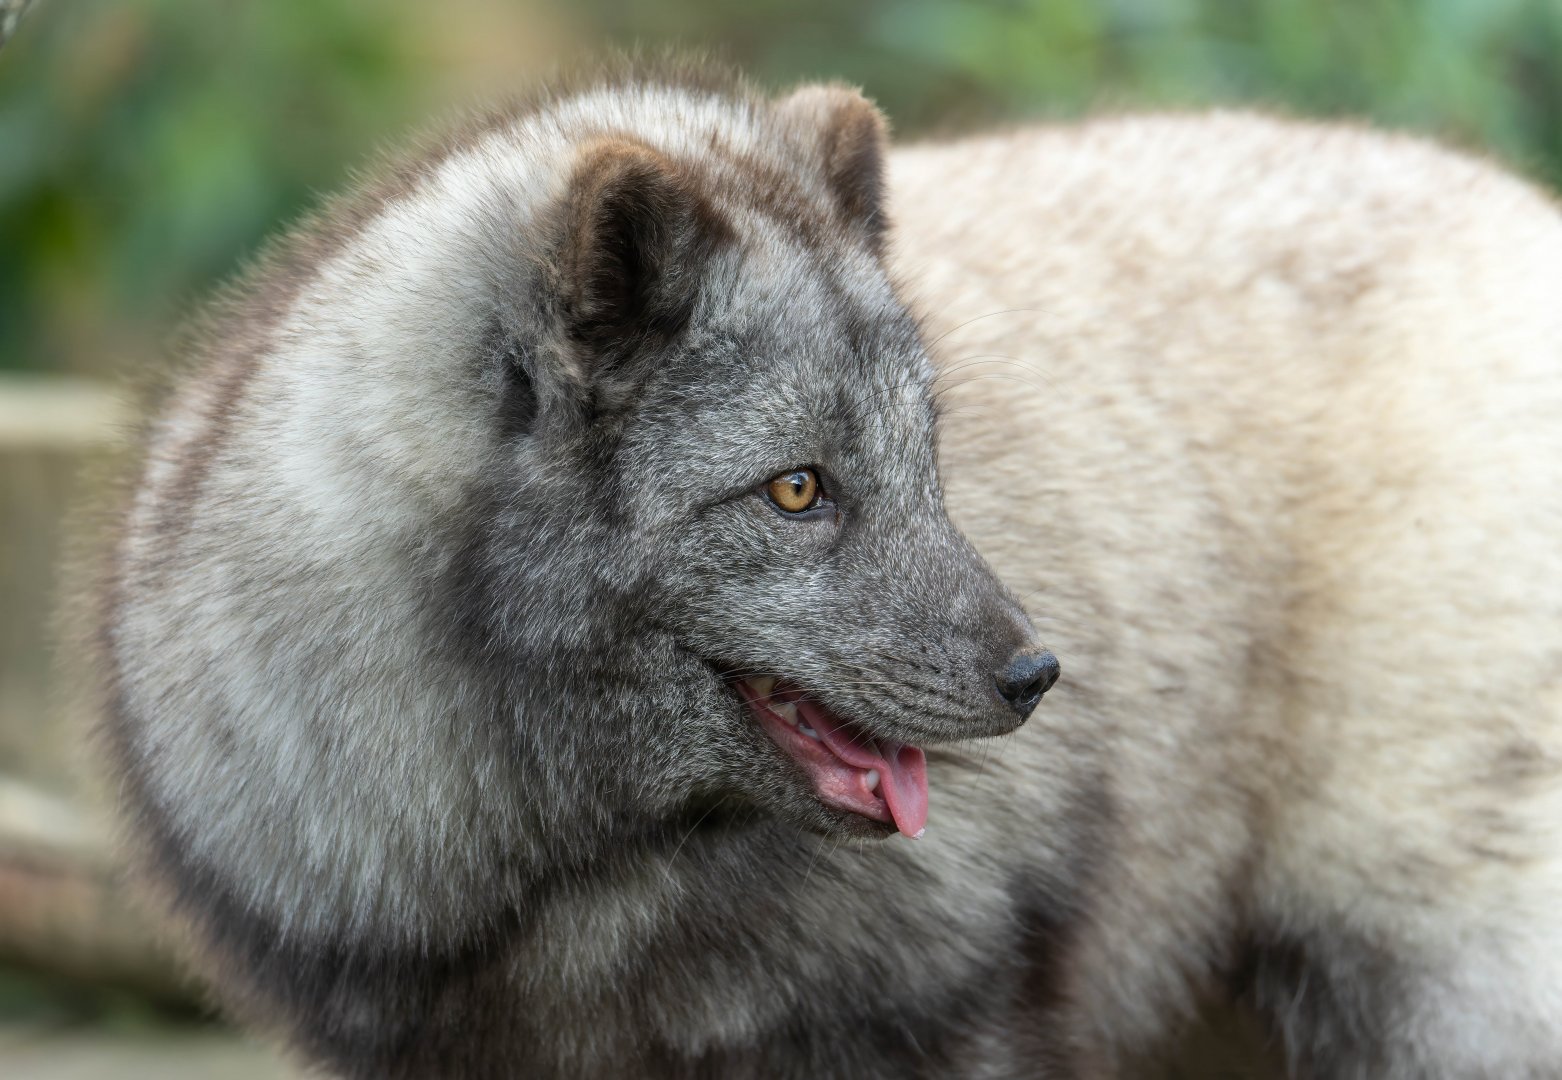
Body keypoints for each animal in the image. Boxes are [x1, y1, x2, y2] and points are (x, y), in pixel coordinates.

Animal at [95, 64, 1562, 1078]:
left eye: (929, 461)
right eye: (797, 489)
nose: (1037, 677)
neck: (579, 882)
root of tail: (1521, 213)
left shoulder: (943, 1018)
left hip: (1436, 985)